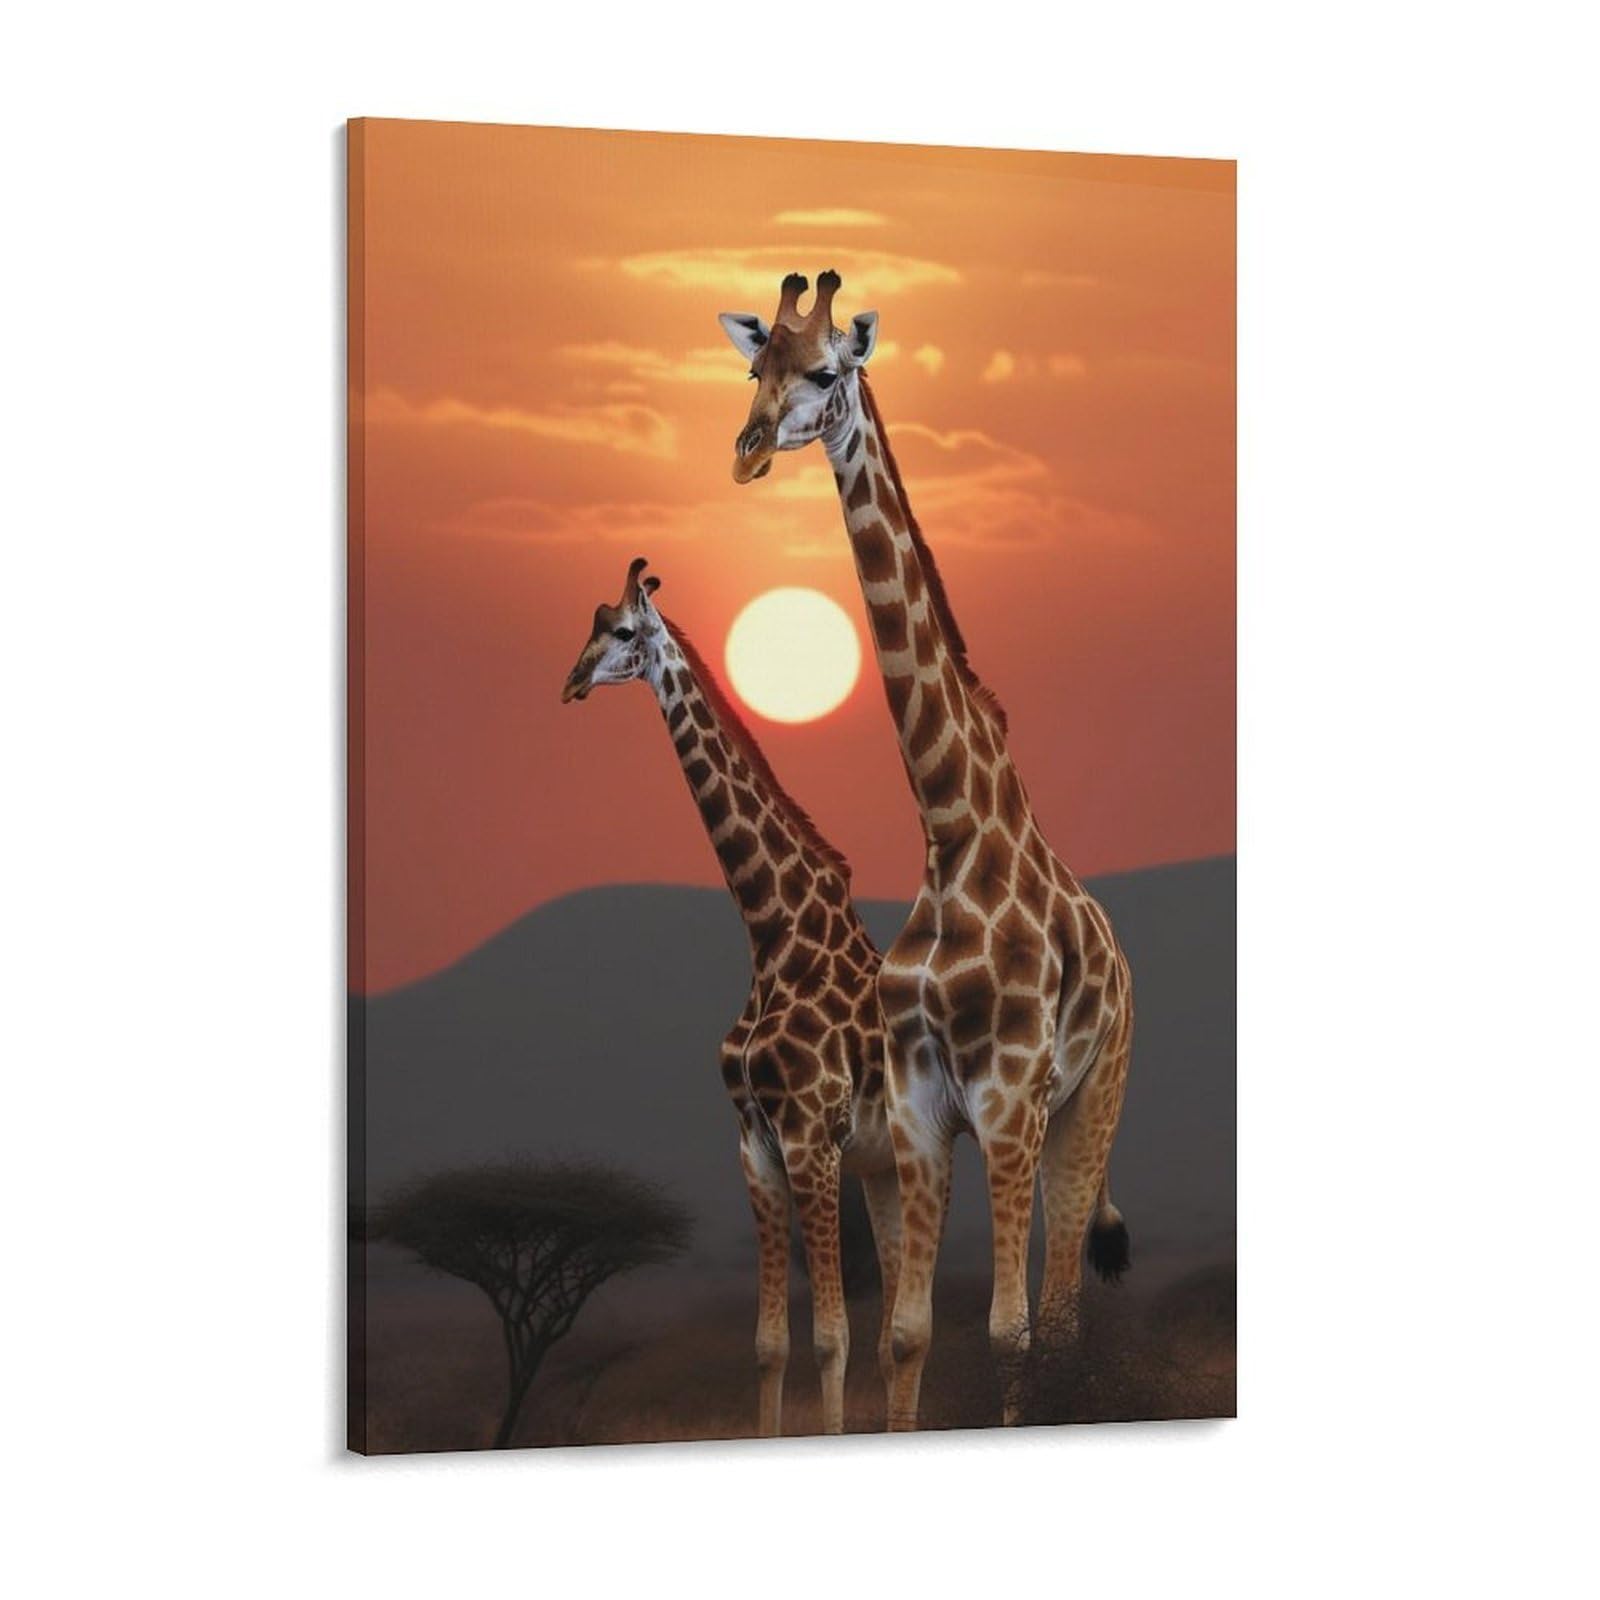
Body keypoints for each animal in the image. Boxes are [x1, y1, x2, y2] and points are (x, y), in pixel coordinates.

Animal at [561, 556, 901, 1437]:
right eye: (590, 622)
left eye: (623, 630)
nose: (570, 682)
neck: (774, 932)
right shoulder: (754, 1145)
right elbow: (770, 1344)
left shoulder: (810, 1139)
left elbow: (831, 1338)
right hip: (886, 1166)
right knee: (903, 1329)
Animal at [718, 272, 1135, 1430]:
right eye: (755, 365)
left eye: (825, 372)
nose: (748, 450)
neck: (952, 831)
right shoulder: (913, 1111)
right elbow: (906, 1333)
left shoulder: (1007, 1101)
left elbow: (1010, 1334)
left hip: (1090, 1103)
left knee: (1065, 1316)